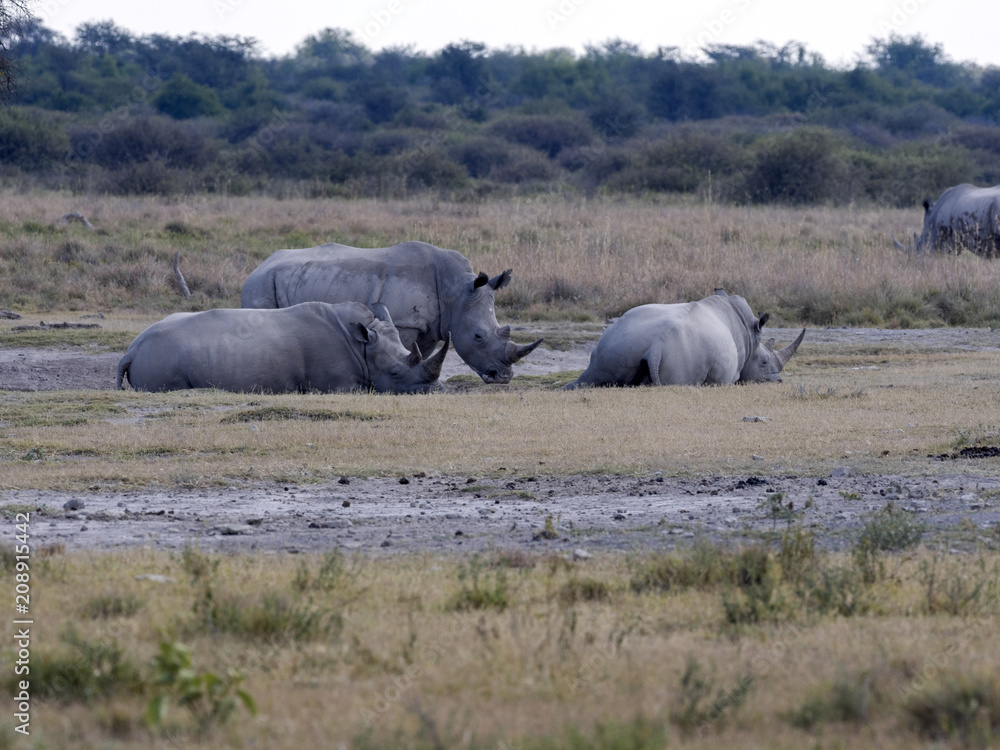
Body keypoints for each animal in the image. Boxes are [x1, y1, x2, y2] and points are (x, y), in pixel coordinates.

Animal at [116, 301, 448, 394]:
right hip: (161, 359)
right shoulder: (337, 385)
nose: (431, 391)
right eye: (395, 374)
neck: (362, 345)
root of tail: (131, 350)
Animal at [240, 241, 542, 384]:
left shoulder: (428, 328)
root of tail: (257, 268)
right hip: (261, 284)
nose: (502, 378)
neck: (455, 292)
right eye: (478, 336)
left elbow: (422, 355)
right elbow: (402, 351)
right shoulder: (405, 323)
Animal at [563, 290, 805, 389]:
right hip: (683, 357)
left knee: (592, 375)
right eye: (764, 362)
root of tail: (655, 347)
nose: (778, 381)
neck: (751, 336)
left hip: (614, 343)